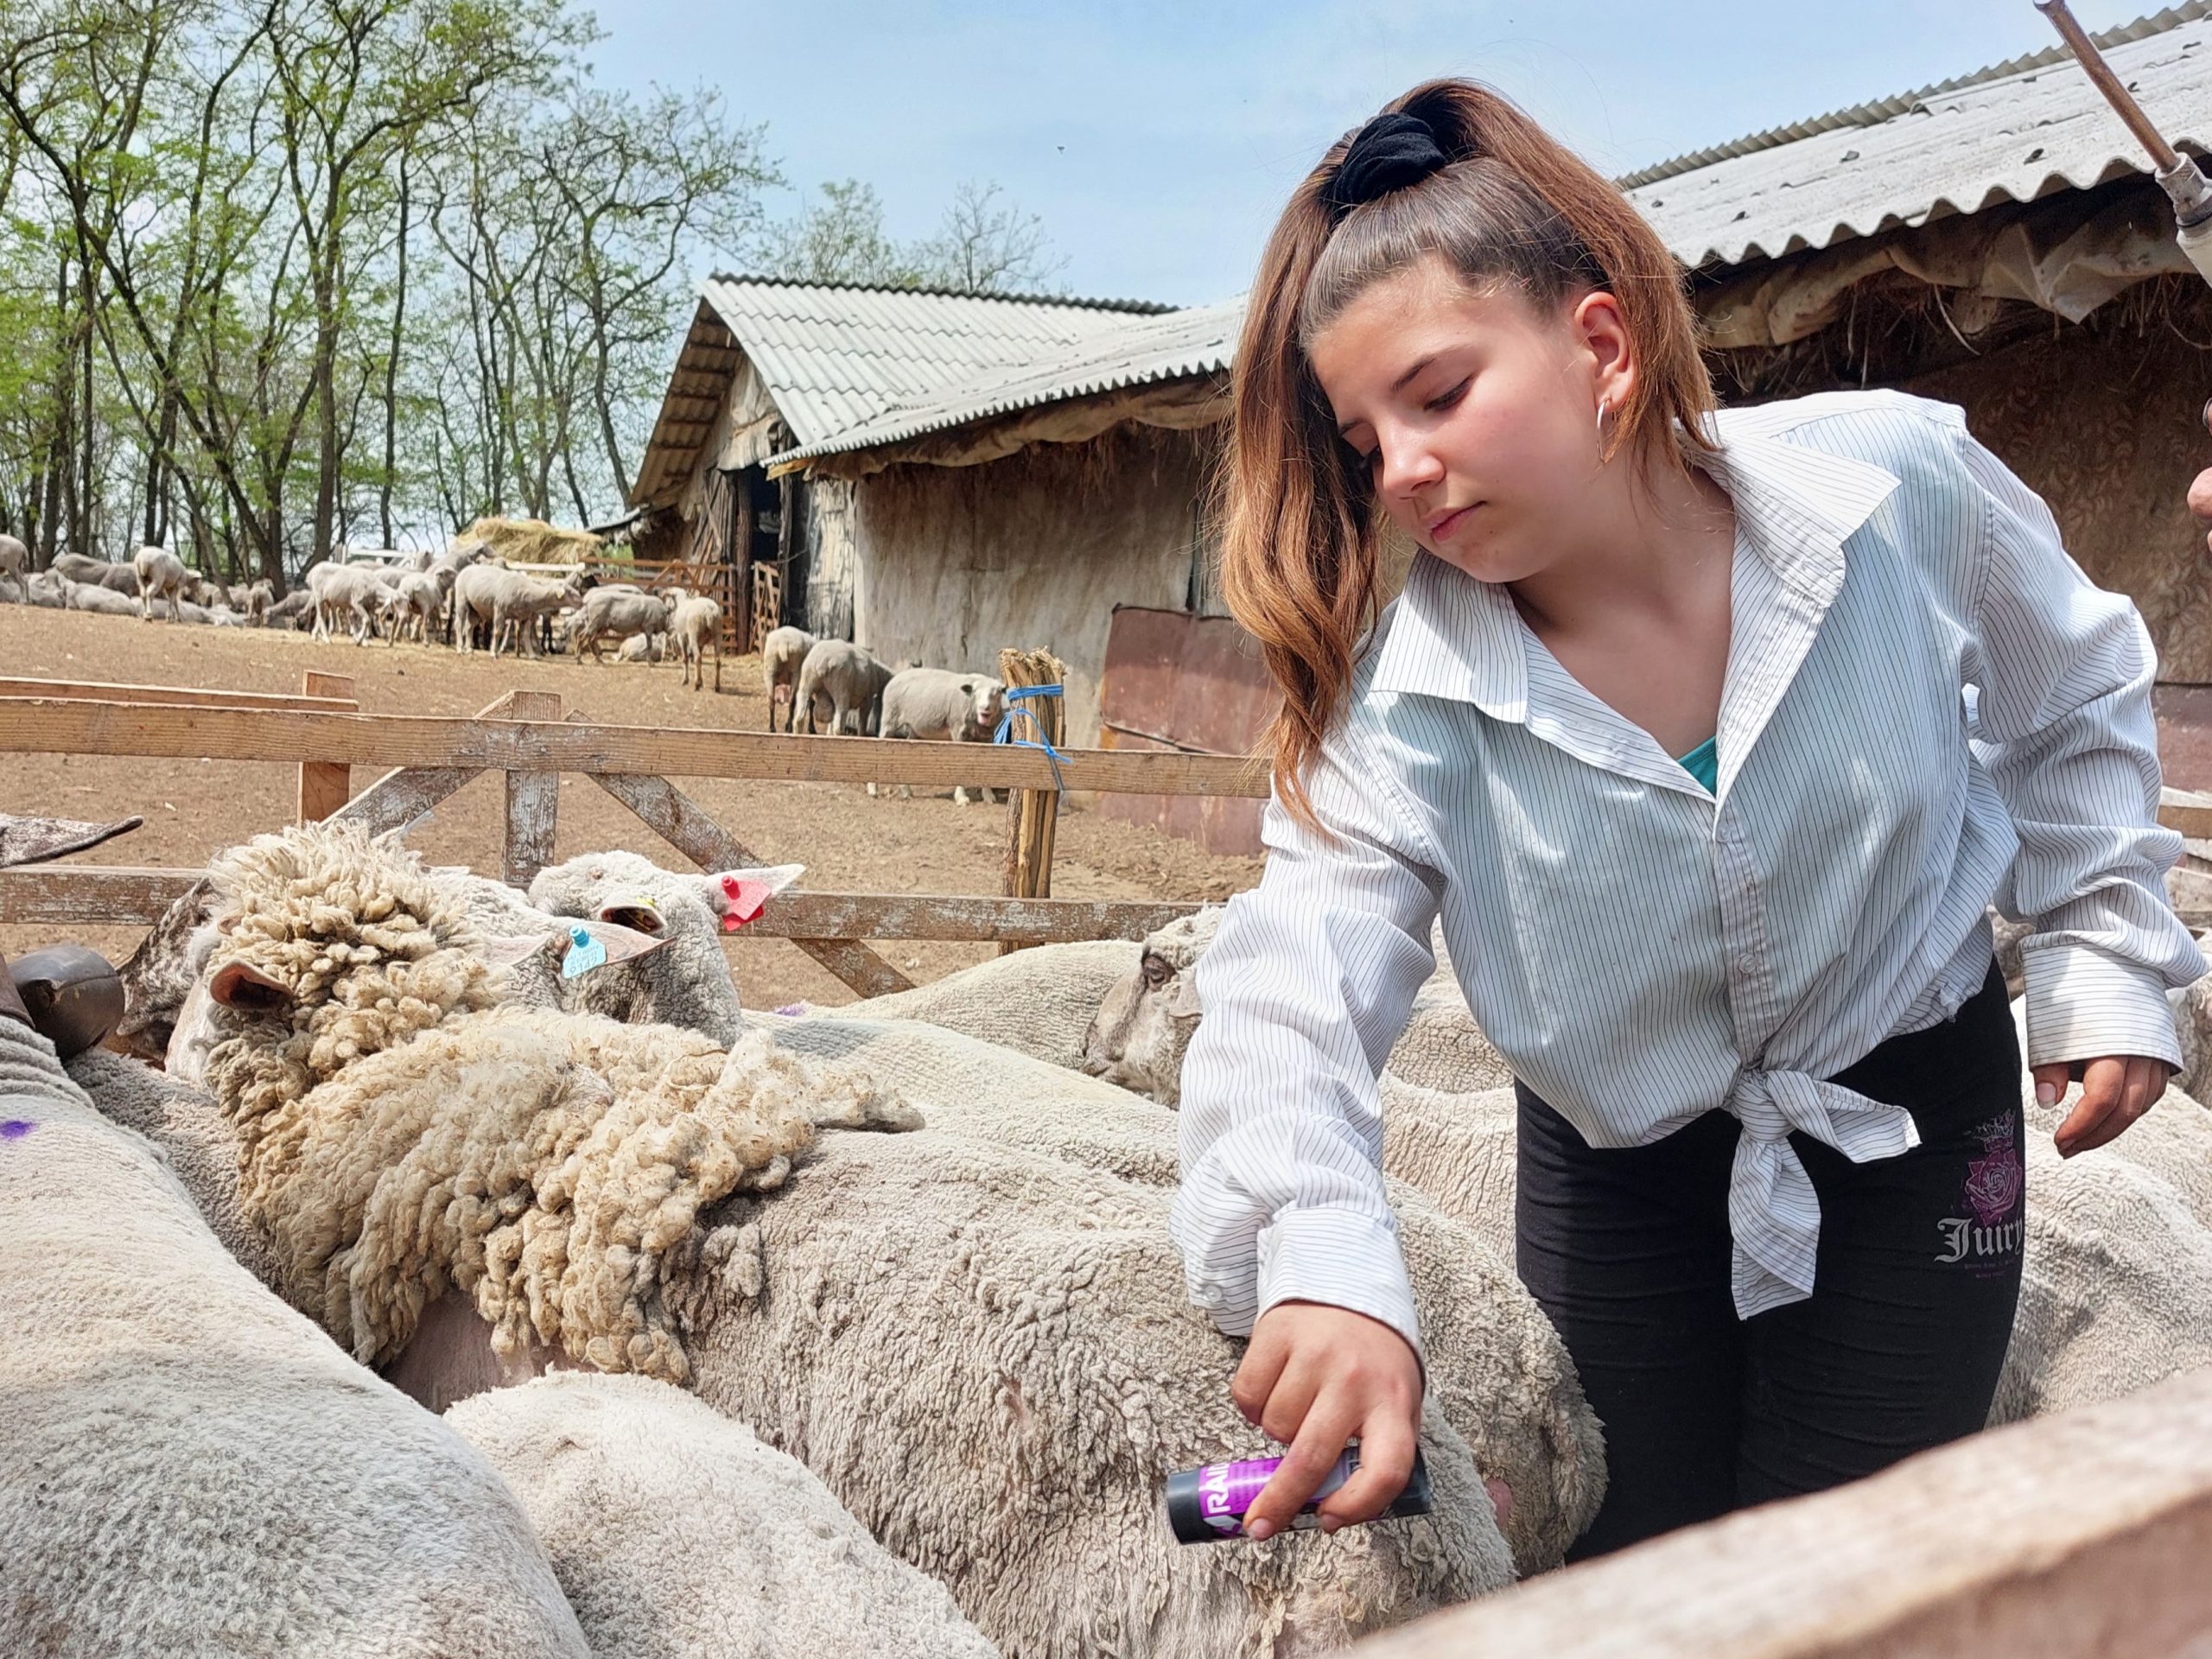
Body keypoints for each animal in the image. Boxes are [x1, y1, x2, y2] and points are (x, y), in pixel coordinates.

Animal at [875, 668, 1013, 814]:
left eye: (997, 693)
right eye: (975, 692)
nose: (984, 708)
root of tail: (897, 676)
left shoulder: (987, 738)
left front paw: (988, 796)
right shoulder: (958, 731)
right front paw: (961, 798)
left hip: (916, 730)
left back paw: (906, 791)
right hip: (890, 719)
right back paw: (873, 789)